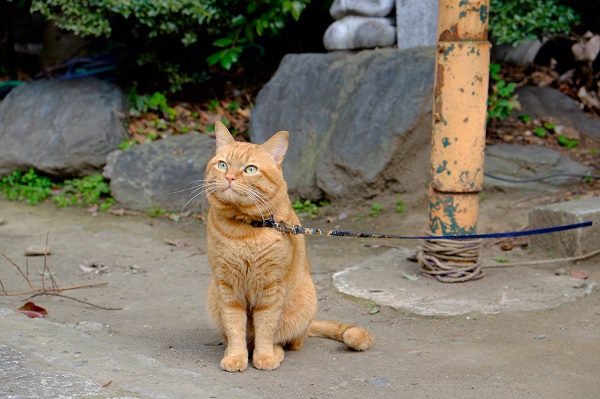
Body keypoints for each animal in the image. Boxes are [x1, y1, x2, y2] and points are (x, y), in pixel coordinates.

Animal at [206, 121, 376, 372]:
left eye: (250, 170)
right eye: (222, 164)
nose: (229, 177)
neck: (246, 230)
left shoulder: (272, 286)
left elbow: (266, 327)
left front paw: (264, 356)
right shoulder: (227, 287)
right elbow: (234, 326)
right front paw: (236, 356)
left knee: (289, 341)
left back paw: (275, 352)